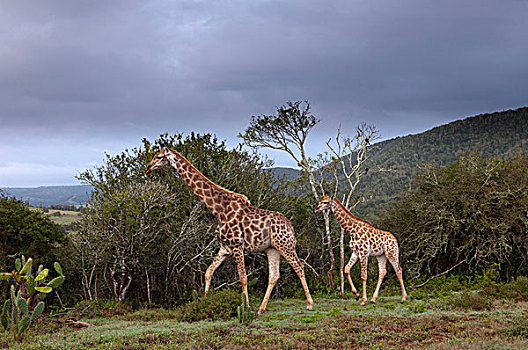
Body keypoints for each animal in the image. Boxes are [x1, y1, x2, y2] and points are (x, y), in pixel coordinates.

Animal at [144, 146, 314, 314]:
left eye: (159, 157)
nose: (148, 168)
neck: (218, 210)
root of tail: (291, 227)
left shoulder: (237, 245)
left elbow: (243, 277)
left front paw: (246, 307)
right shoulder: (225, 247)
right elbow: (208, 272)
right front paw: (204, 303)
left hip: (285, 244)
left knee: (299, 267)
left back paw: (309, 304)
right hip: (272, 248)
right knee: (274, 275)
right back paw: (261, 308)